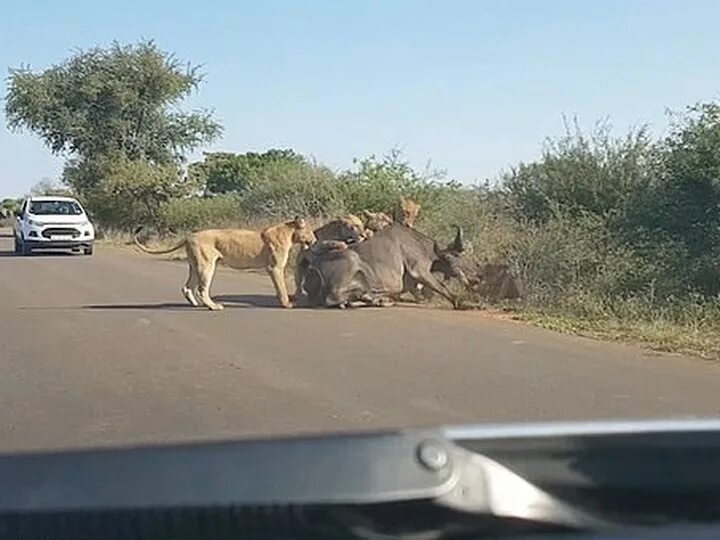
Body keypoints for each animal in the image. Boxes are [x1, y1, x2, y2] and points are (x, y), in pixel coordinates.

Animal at [134, 217, 316, 310]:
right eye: (310, 231)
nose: (315, 240)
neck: (290, 233)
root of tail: (189, 236)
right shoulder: (275, 268)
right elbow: (281, 288)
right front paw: (287, 304)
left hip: (194, 265)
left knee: (187, 287)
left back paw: (194, 304)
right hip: (206, 264)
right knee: (201, 289)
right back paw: (213, 306)